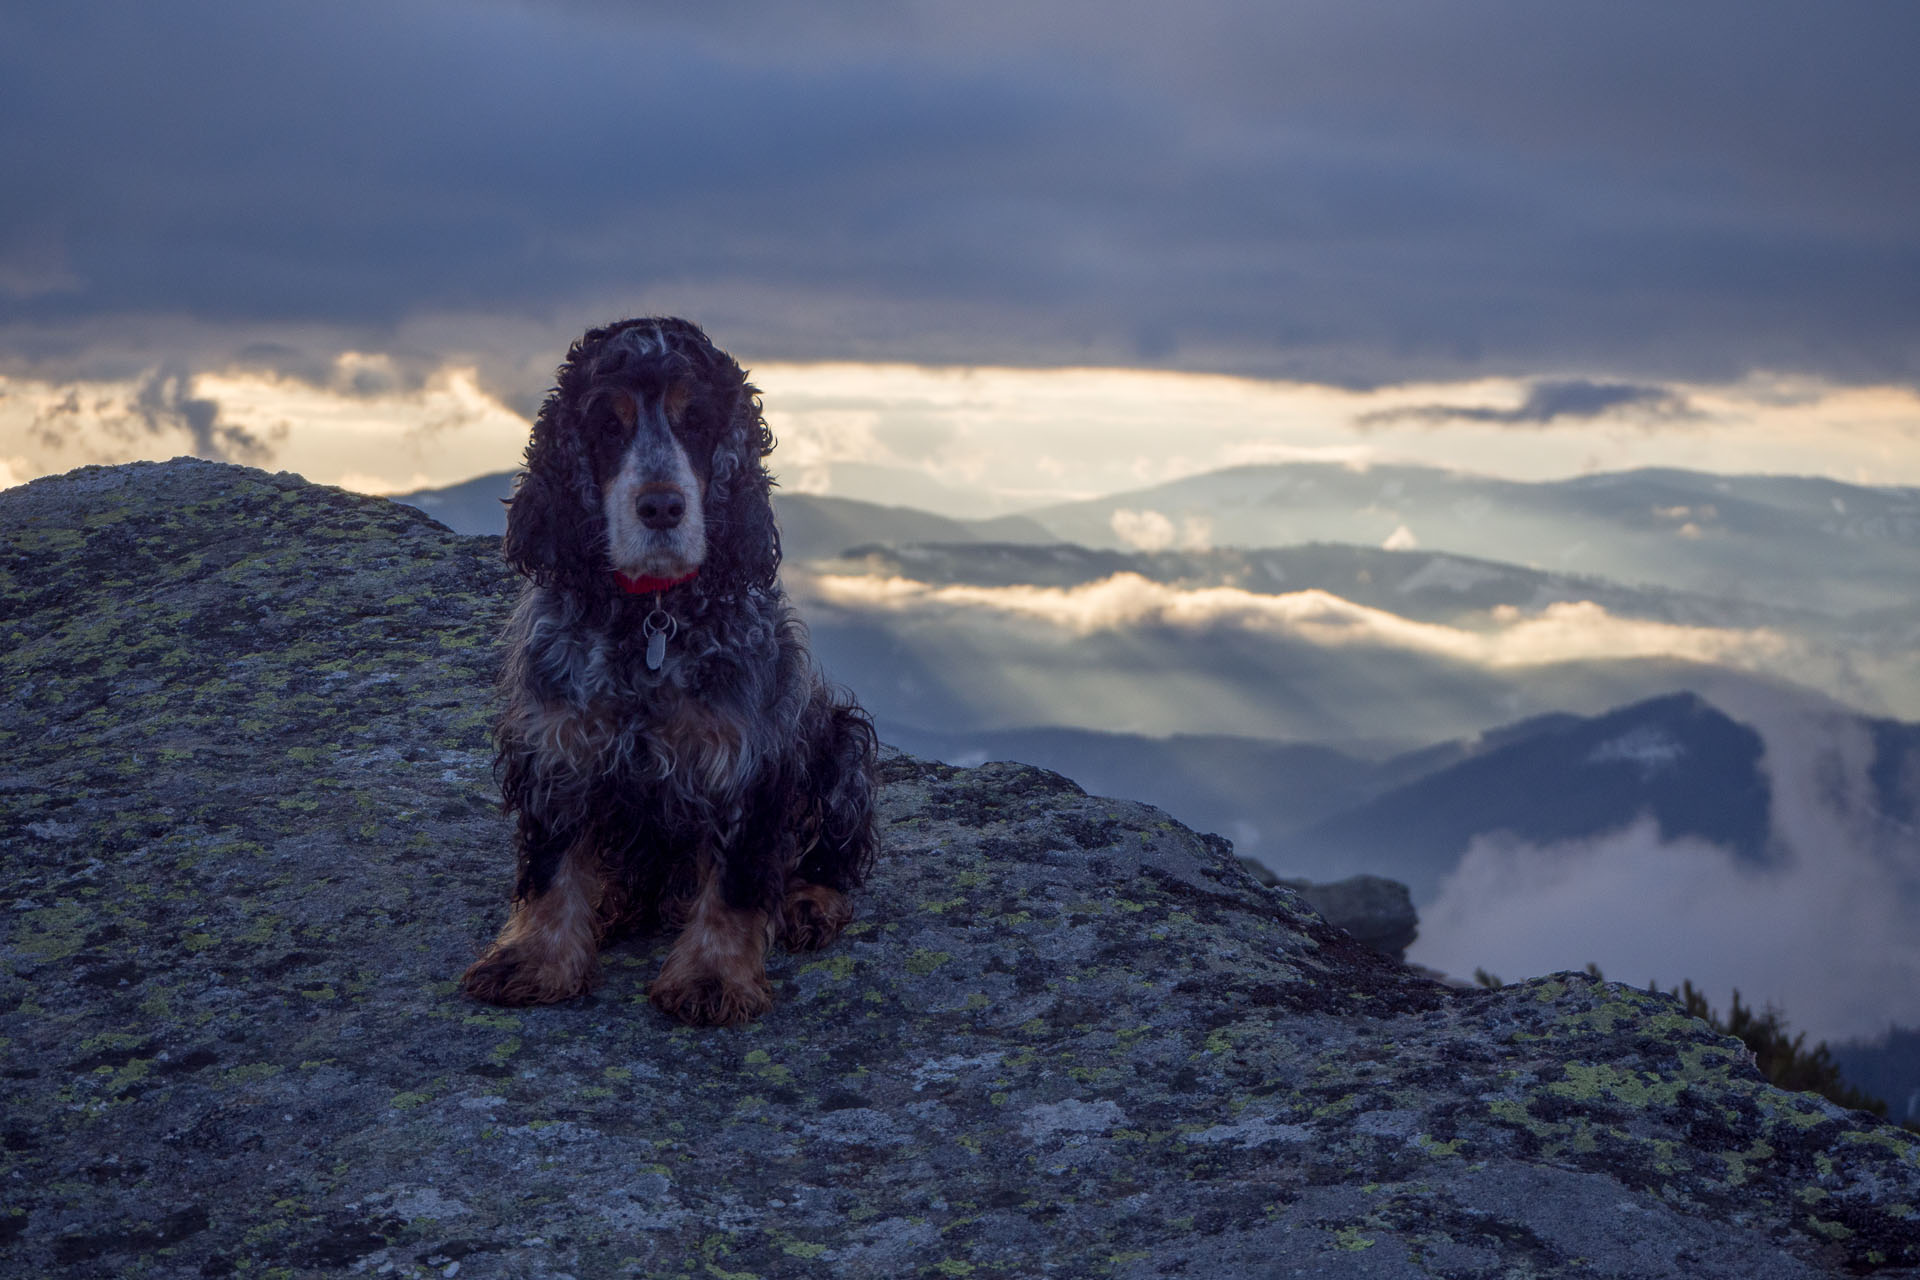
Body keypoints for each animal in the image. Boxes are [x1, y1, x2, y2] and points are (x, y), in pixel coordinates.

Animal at [460, 320, 879, 1028]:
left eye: (696, 422)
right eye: (608, 426)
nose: (661, 508)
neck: (651, 615)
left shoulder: (748, 757)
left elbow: (737, 884)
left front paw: (712, 977)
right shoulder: (556, 744)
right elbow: (550, 866)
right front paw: (533, 960)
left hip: (842, 744)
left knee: (827, 856)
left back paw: (806, 903)